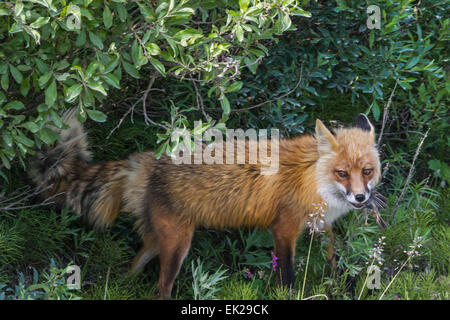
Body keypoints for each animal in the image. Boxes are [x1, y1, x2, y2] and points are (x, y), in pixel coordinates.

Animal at [30, 110, 384, 300]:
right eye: (342, 173)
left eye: (367, 171)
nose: (360, 198)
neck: (314, 180)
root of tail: (145, 161)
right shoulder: (284, 230)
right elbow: (287, 277)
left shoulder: (321, 226)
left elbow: (337, 260)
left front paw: (345, 286)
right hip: (177, 245)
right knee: (161, 289)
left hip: (158, 242)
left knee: (132, 268)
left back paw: (123, 285)